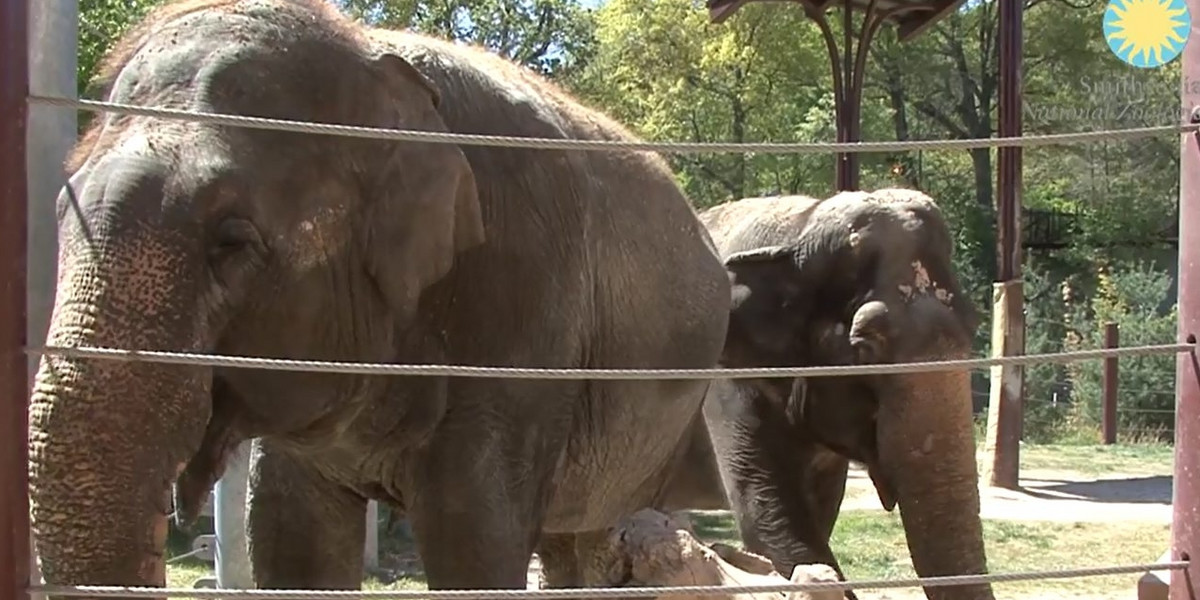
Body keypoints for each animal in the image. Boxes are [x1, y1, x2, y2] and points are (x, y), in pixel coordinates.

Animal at [28, 0, 729, 592]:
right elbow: (292, 538)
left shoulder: (524, 300)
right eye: (59, 212)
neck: (369, 54)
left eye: (232, 240)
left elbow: (474, 540)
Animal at [657, 189, 993, 600]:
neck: (801, 224)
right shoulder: (727, 377)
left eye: (974, 324)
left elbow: (819, 510)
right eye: (866, 348)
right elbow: (768, 513)